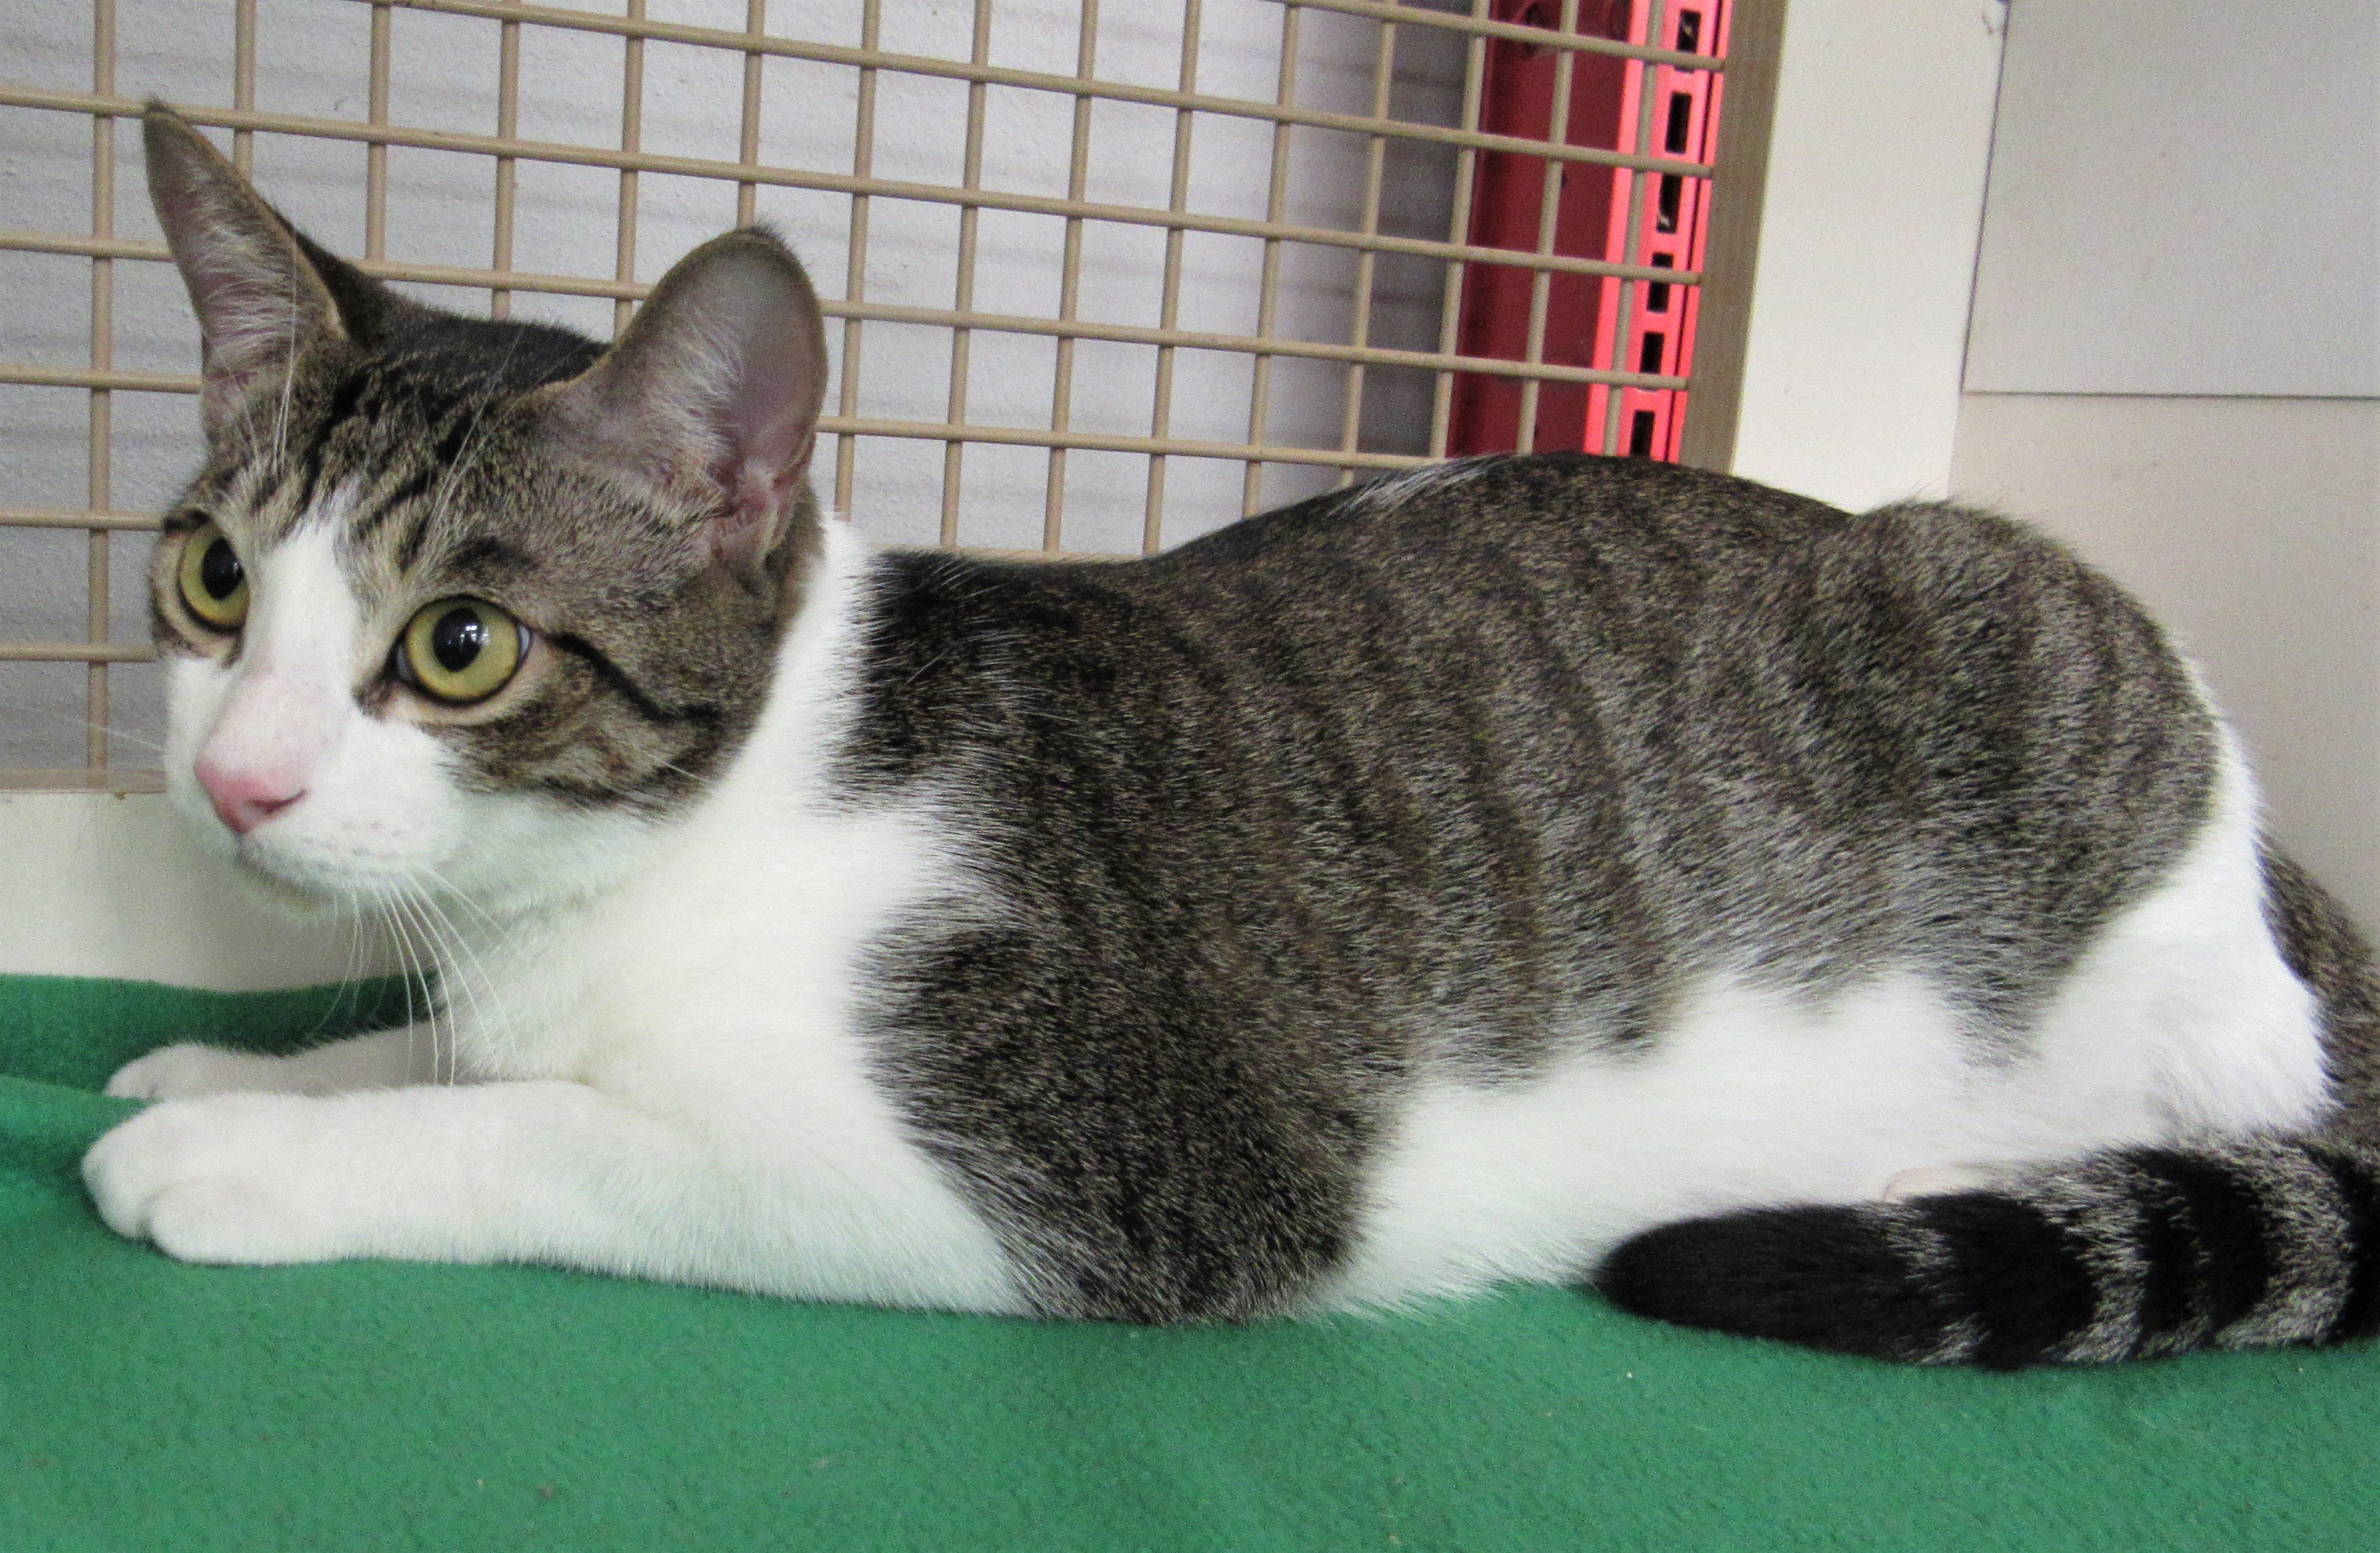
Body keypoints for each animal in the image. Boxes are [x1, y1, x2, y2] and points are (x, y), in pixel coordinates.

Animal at [82, 103, 2380, 1367]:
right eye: (215, 584)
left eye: (458, 644)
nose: (233, 777)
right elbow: (465, 1056)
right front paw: (254, 1062)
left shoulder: (1089, 1164)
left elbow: (561, 1134)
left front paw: (244, 1150)